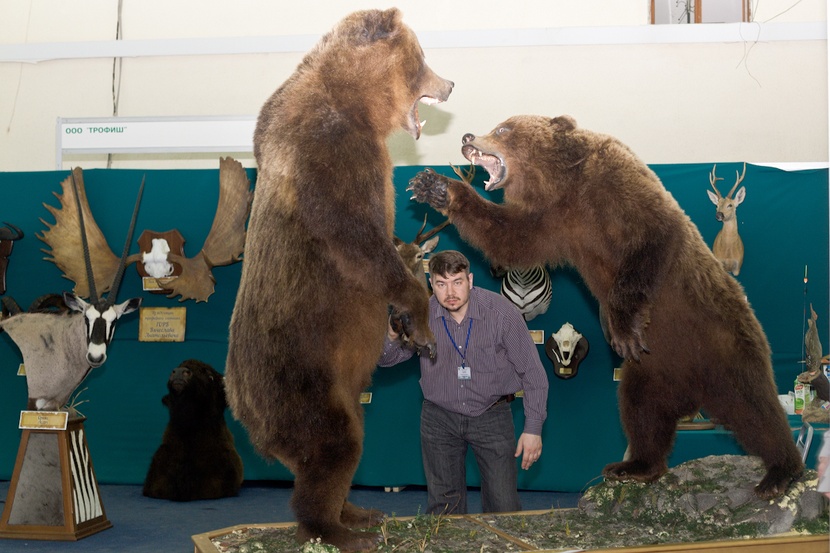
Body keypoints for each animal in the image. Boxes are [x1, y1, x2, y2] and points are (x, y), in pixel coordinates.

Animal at [224, 8, 452, 552]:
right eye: (422, 57)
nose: (451, 83)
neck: (358, 105)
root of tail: (240, 407)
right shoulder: (330, 152)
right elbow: (358, 239)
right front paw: (421, 319)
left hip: (343, 390)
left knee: (345, 446)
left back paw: (360, 510)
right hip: (300, 374)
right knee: (333, 443)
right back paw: (340, 529)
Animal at [410, 114, 808, 498]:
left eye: (503, 128)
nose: (467, 136)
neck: (563, 185)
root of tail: (693, 391)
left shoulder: (618, 190)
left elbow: (650, 238)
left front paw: (622, 327)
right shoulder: (552, 222)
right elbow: (507, 236)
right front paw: (436, 186)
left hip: (722, 340)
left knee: (754, 407)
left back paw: (780, 472)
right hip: (653, 370)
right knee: (641, 409)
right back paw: (633, 466)